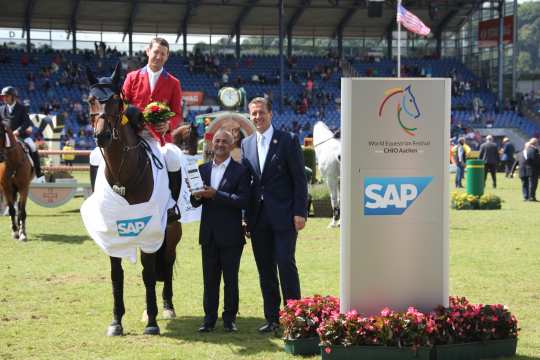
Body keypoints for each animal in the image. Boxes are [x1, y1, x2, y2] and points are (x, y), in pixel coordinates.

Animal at [85, 63, 182, 336]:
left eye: (117, 101)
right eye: (90, 100)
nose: (102, 136)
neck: (123, 174)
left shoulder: (150, 230)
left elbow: (149, 274)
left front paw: (152, 322)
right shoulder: (112, 232)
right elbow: (116, 275)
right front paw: (116, 321)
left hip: (170, 231)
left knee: (167, 262)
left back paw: (167, 307)